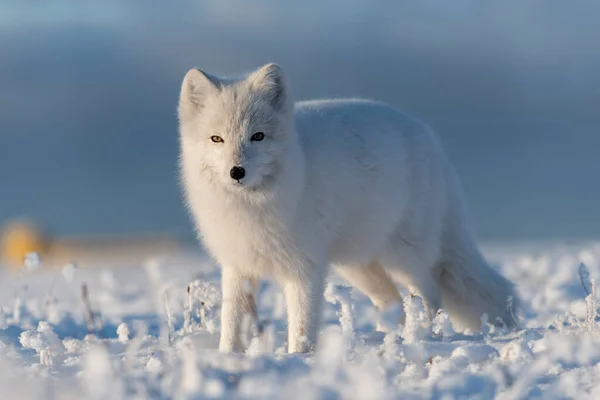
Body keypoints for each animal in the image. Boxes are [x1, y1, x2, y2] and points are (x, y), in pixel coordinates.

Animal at [176, 63, 516, 354]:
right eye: (216, 138)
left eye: (257, 136)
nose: (237, 172)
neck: (251, 206)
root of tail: (429, 137)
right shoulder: (238, 266)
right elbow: (233, 324)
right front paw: (229, 358)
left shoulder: (305, 268)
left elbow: (302, 326)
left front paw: (297, 359)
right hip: (358, 266)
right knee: (392, 302)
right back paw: (388, 339)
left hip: (403, 257)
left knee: (430, 296)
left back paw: (420, 337)